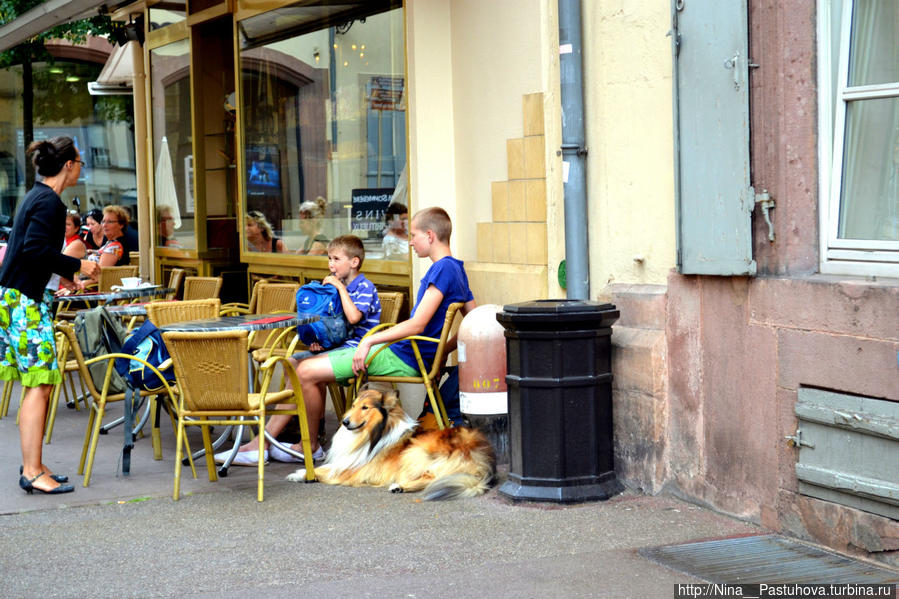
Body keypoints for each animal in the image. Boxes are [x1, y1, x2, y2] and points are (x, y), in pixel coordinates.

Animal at [286, 390, 496, 502]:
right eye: (353, 405)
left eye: (365, 407)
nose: (345, 422)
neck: (373, 434)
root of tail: (482, 459)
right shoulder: (348, 462)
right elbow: (326, 466)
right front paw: (302, 472)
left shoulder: (355, 469)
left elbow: (324, 471)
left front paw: (300, 475)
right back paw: (399, 486)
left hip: (414, 451)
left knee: (432, 477)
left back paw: (399, 485)